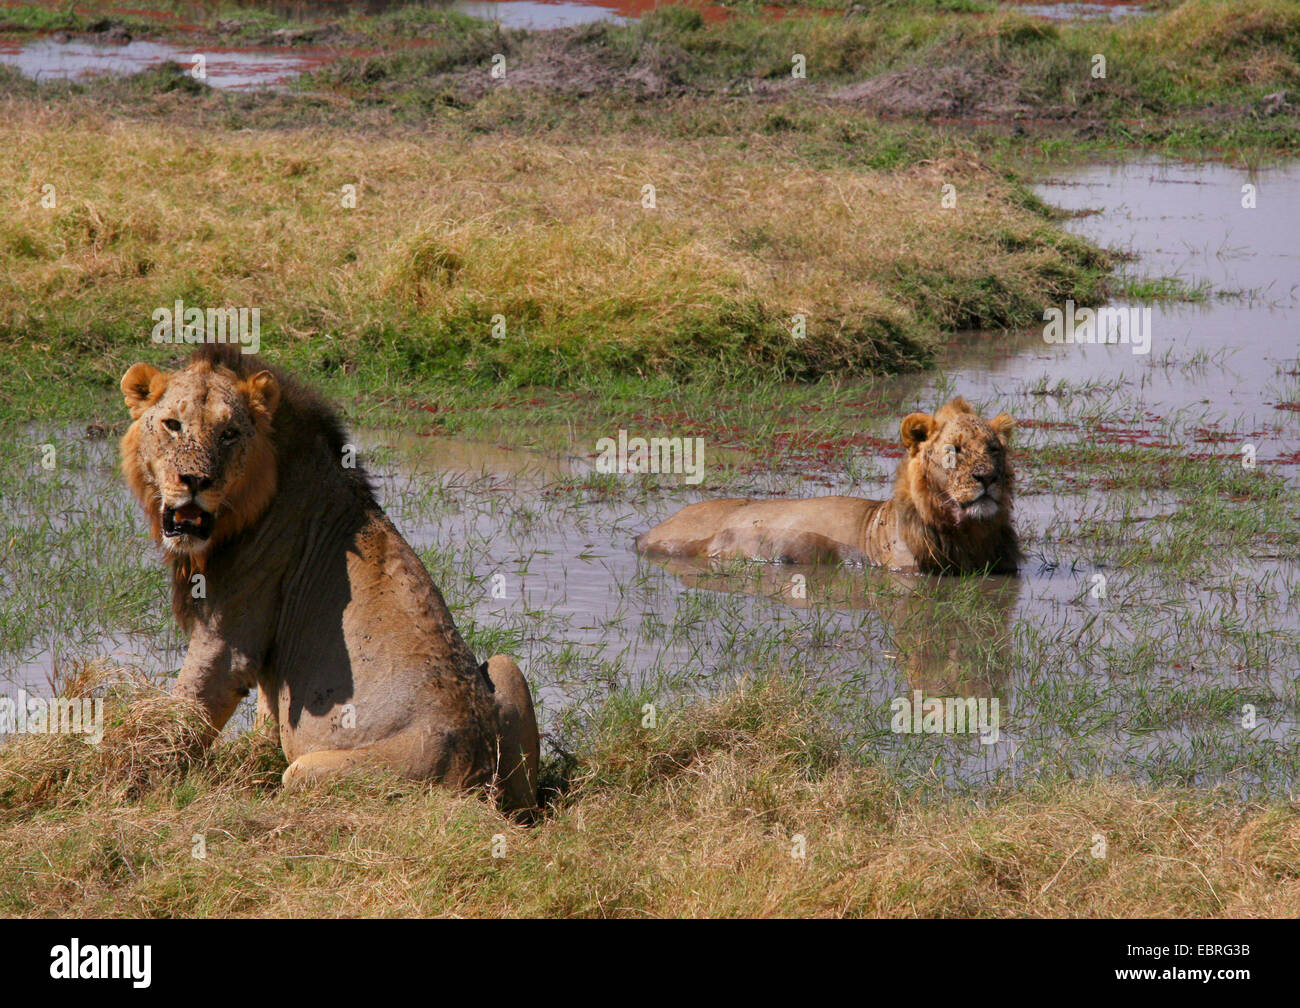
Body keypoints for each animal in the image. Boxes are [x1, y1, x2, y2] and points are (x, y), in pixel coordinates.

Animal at [119, 345, 540, 811]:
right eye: (173, 425)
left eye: (229, 434)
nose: (195, 481)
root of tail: (480, 776)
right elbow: (267, 715)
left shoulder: (228, 639)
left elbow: (184, 713)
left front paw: (135, 783)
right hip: (506, 668)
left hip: (312, 771)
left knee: (294, 774)